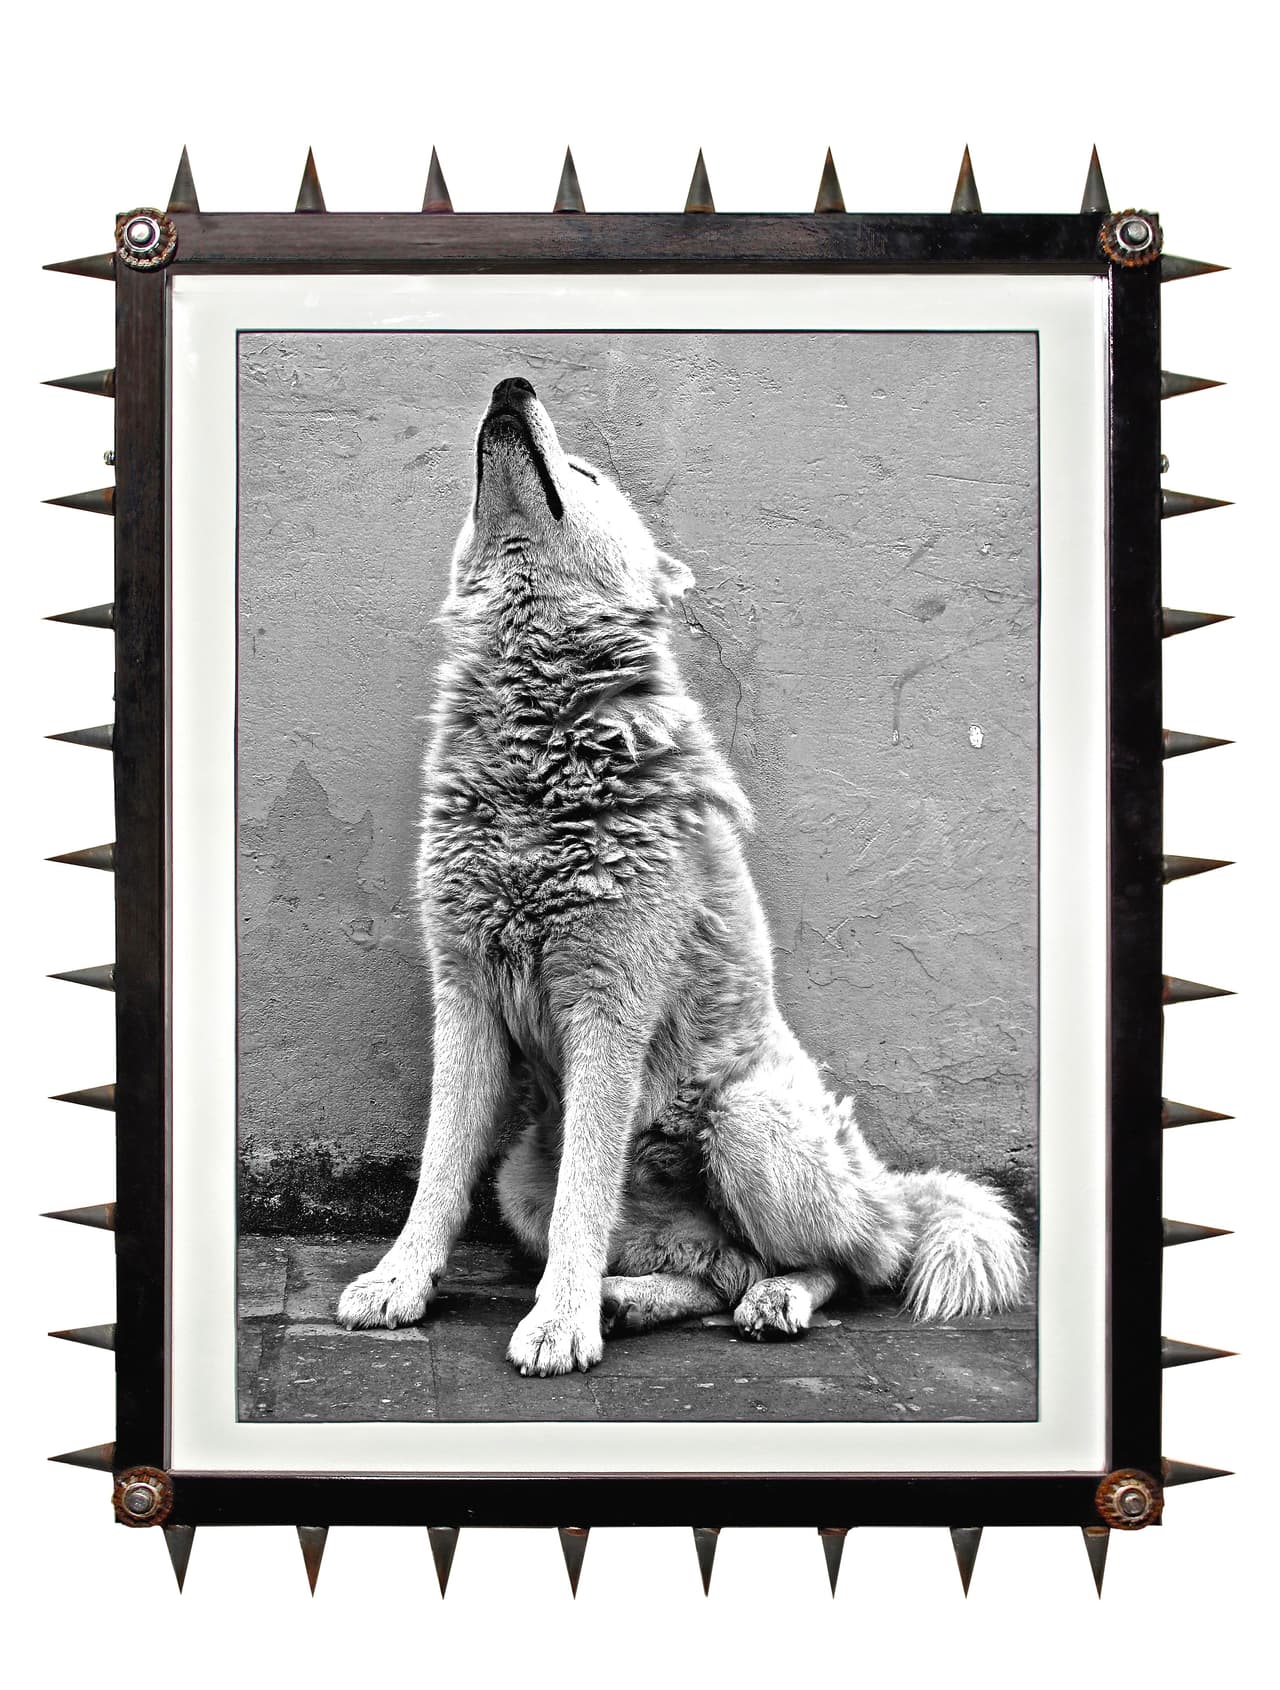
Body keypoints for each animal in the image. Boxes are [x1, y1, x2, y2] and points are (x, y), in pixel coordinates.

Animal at [337, 375, 1027, 1376]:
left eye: (585, 471)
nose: (511, 385)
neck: (544, 741)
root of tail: (883, 1182)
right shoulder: (464, 999)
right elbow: (439, 1170)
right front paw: (402, 1280)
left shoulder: (608, 1011)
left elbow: (588, 1192)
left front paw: (558, 1324)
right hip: (522, 1179)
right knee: (719, 1269)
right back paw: (631, 1299)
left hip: (750, 1125)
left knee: (851, 1263)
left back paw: (772, 1299)